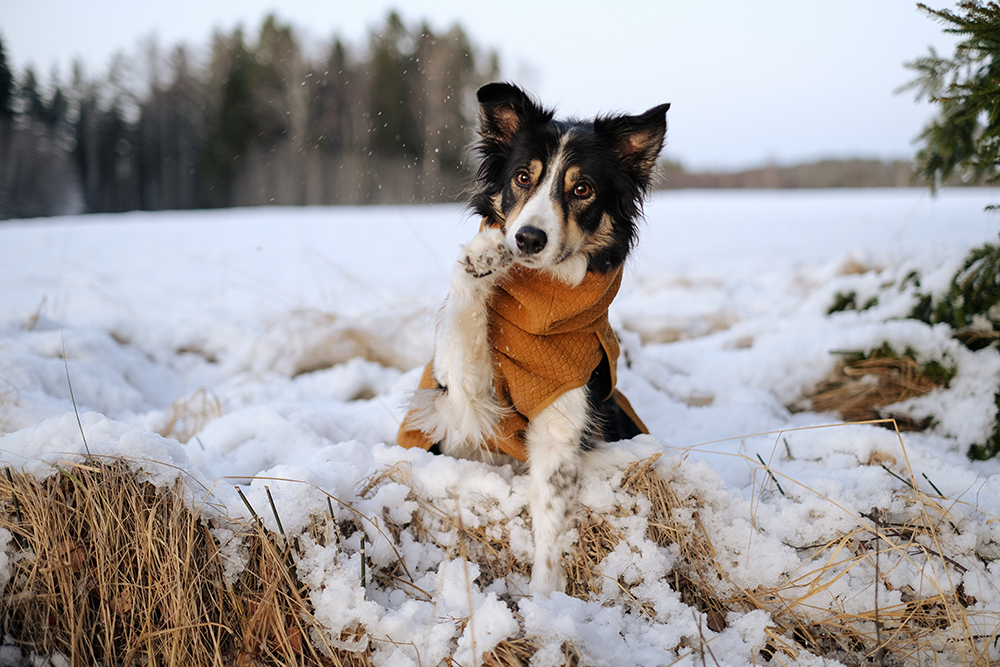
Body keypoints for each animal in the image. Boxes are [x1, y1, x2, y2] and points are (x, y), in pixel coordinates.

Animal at [394, 83, 668, 596]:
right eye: (523, 177)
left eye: (582, 189)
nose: (527, 238)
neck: (540, 307)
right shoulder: (463, 401)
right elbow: (464, 319)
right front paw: (484, 254)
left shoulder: (561, 426)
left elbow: (550, 519)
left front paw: (546, 600)